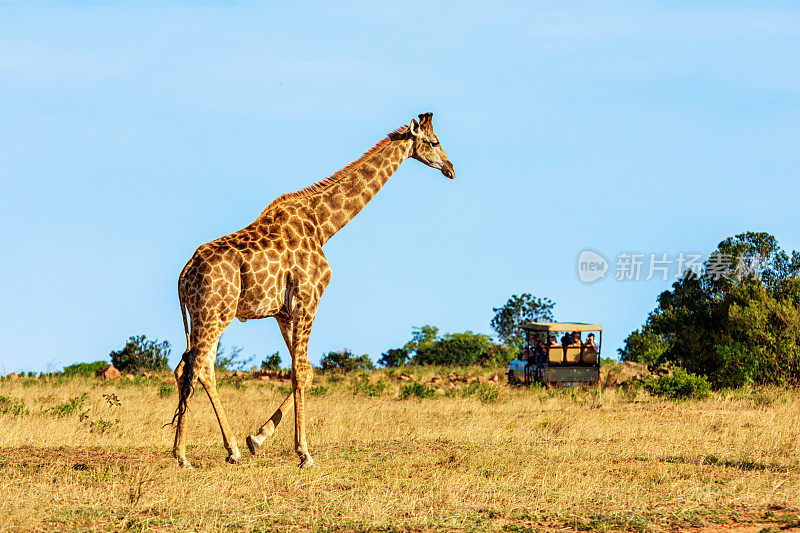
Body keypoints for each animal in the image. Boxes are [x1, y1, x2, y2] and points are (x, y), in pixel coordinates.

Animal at [172, 111, 454, 466]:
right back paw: (182, 455)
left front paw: (257, 439)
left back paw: (232, 450)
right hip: (214, 313)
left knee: (198, 367)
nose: (450, 168)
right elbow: (301, 371)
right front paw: (304, 453)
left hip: (207, 315)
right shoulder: (310, 297)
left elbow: (303, 370)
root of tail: (184, 274)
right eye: (434, 142)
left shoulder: (284, 312)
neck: (323, 226)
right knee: (192, 366)